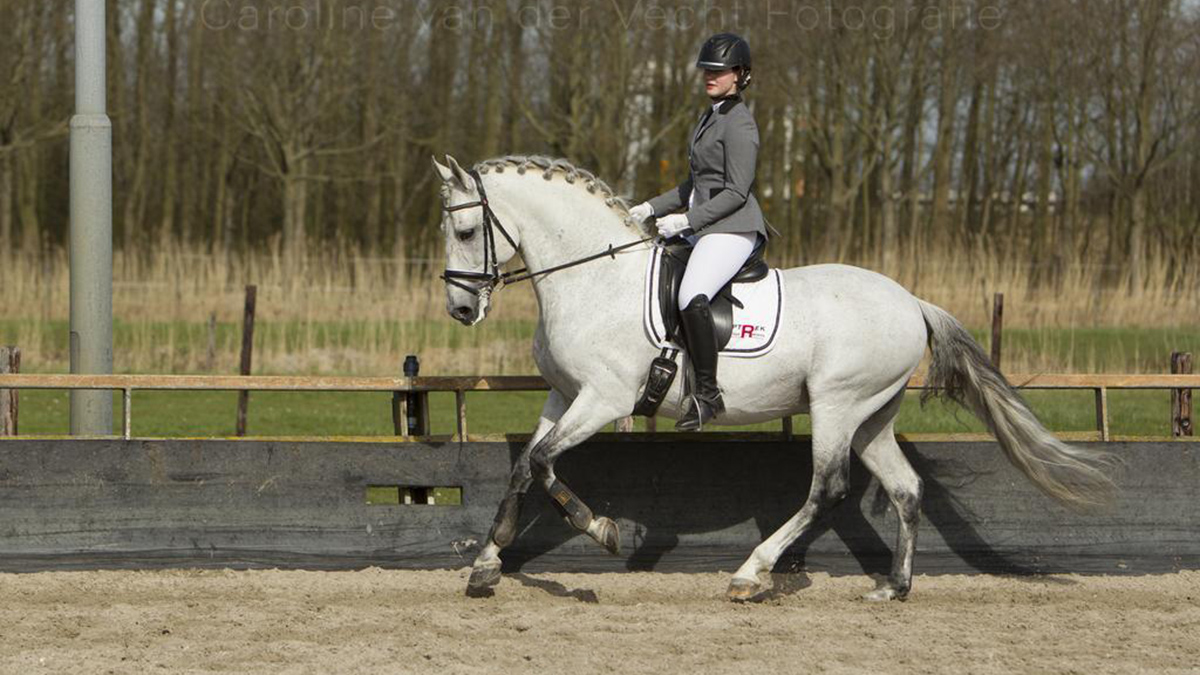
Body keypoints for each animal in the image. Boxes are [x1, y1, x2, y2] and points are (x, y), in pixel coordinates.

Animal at [431, 153, 1116, 601]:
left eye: (466, 230)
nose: (460, 310)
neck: (594, 277)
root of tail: (911, 302)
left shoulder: (602, 399)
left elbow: (545, 463)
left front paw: (602, 531)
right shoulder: (564, 394)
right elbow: (526, 467)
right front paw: (487, 565)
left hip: (836, 404)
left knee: (827, 488)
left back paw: (750, 574)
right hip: (871, 415)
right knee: (905, 489)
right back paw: (894, 587)